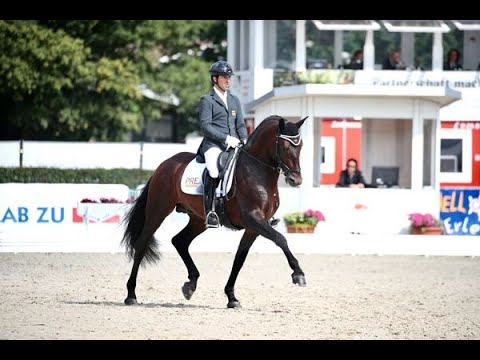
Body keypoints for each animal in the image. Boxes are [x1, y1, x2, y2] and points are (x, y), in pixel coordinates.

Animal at [120, 114, 308, 306]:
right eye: (285, 147)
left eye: (300, 146)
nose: (296, 180)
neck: (258, 172)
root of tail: (164, 165)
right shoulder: (253, 219)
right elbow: (281, 239)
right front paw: (298, 274)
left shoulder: (253, 228)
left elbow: (239, 259)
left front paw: (231, 297)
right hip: (158, 210)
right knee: (142, 244)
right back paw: (131, 295)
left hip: (198, 219)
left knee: (180, 241)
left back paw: (190, 284)